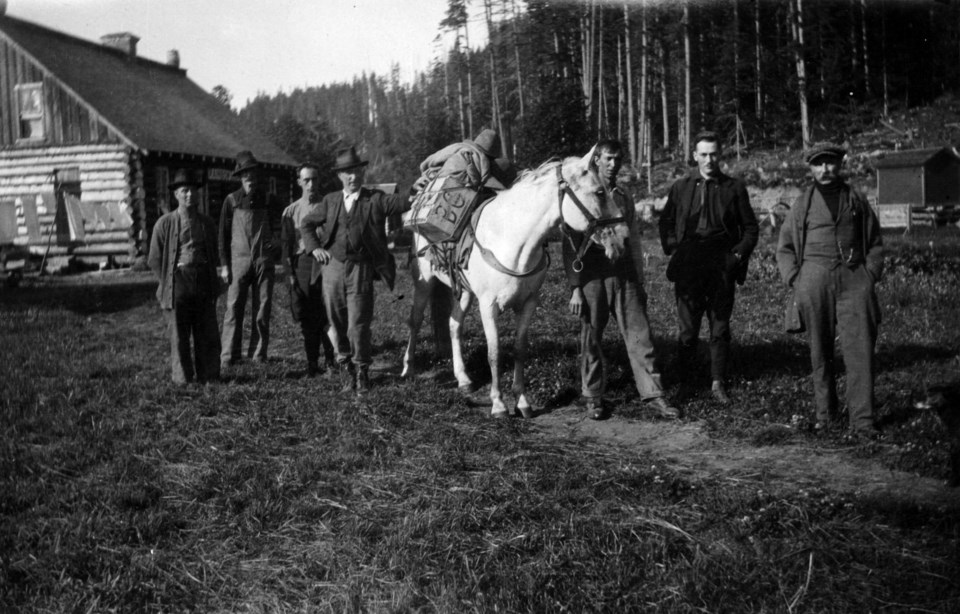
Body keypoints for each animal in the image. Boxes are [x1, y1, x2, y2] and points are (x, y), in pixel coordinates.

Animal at [400, 146, 632, 418]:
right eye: (599, 192)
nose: (624, 238)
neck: (512, 238)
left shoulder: (528, 303)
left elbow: (520, 349)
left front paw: (522, 402)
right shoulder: (488, 306)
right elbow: (494, 352)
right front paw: (498, 404)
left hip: (465, 292)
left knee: (454, 324)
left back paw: (463, 379)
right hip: (423, 283)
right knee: (415, 321)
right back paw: (408, 369)